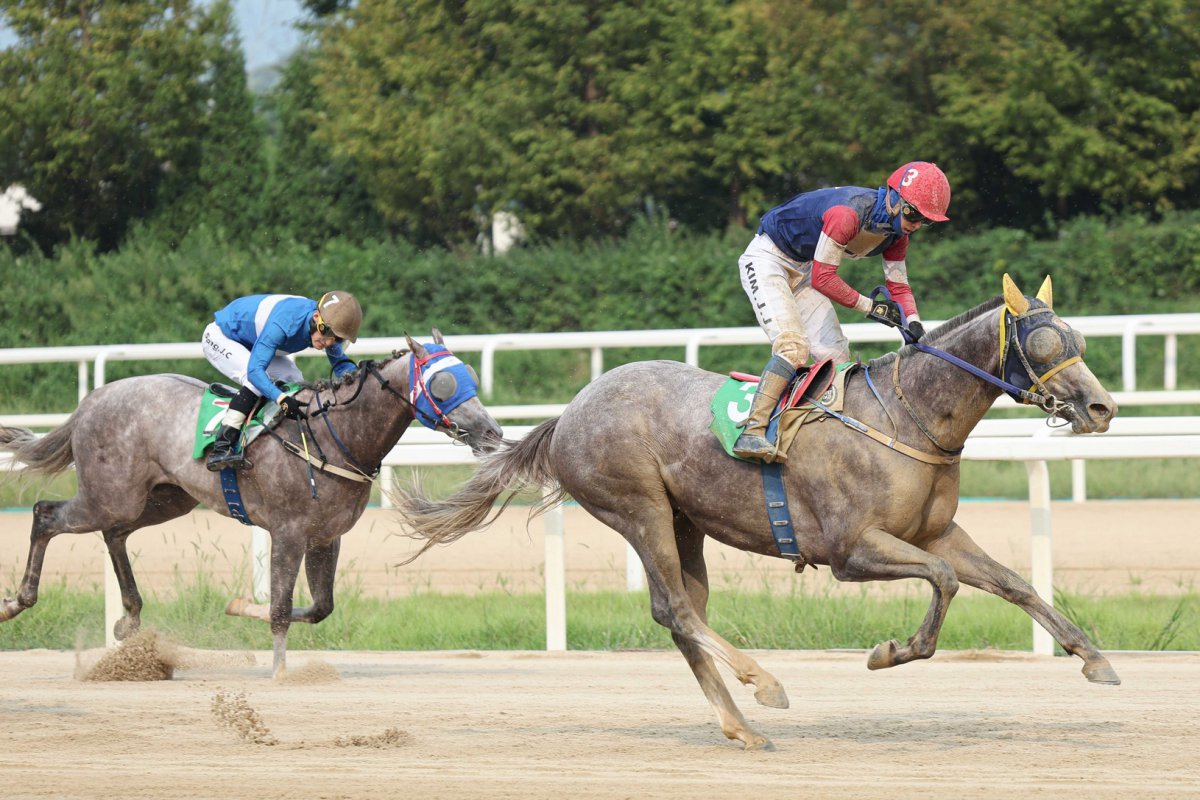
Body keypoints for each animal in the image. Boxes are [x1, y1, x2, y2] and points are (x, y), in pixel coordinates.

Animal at [1, 331, 501, 676]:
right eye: (444, 383)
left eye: (472, 378)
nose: (493, 431)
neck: (334, 435)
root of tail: (92, 399)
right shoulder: (288, 531)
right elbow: (281, 606)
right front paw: (279, 673)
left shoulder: (326, 536)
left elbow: (319, 607)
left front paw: (239, 606)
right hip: (110, 495)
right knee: (46, 514)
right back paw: (17, 601)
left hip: (163, 499)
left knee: (114, 533)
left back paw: (129, 620)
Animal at [396, 277, 1123, 753]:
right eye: (1045, 340)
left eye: (1080, 338)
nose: (1101, 408)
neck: (905, 416)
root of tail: (568, 414)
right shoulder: (851, 550)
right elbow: (943, 582)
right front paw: (890, 652)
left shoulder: (938, 531)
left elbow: (1013, 582)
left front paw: (1093, 657)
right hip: (638, 507)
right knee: (677, 609)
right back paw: (764, 684)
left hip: (684, 522)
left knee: (681, 616)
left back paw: (741, 726)